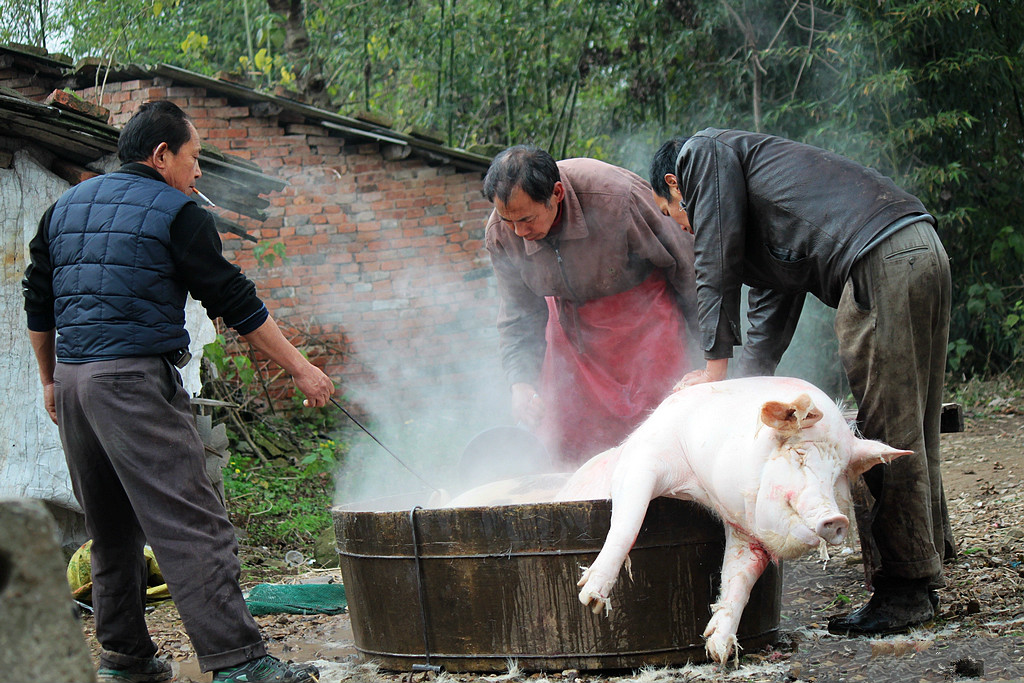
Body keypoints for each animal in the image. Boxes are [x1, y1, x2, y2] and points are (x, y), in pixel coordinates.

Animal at [557, 376, 909, 663]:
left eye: (837, 475)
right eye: (799, 455)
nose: (836, 519)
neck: (698, 489)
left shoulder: (745, 531)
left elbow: (740, 578)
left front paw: (719, 652)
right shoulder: (645, 457)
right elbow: (629, 519)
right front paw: (589, 599)